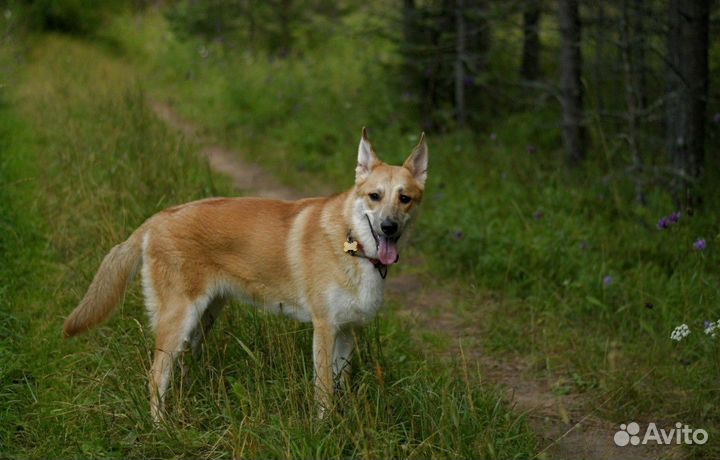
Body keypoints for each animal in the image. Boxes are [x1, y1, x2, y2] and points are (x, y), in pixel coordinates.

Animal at [63, 126, 428, 420]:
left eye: (405, 199)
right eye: (374, 196)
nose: (389, 227)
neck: (351, 242)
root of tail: (156, 219)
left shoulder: (347, 332)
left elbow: (339, 387)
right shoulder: (324, 329)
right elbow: (324, 393)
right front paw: (326, 430)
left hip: (202, 321)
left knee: (178, 369)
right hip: (179, 319)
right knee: (155, 377)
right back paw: (160, 429)